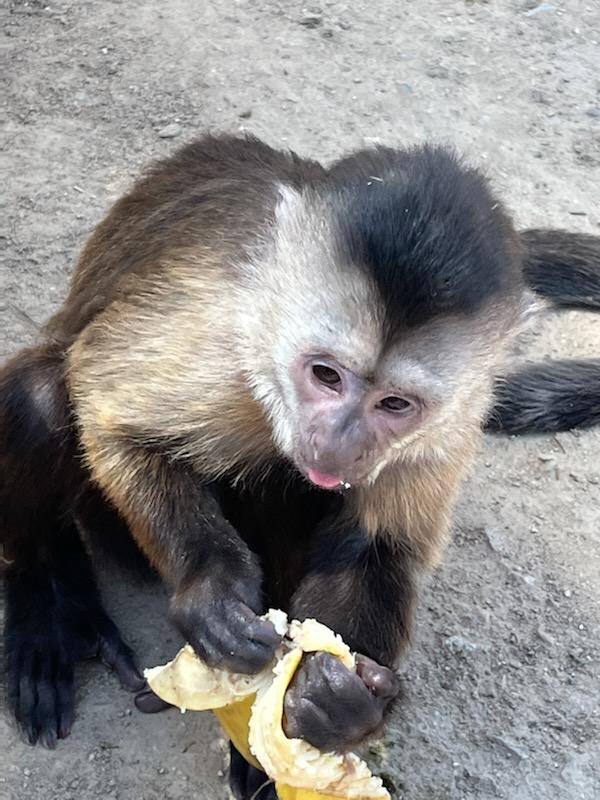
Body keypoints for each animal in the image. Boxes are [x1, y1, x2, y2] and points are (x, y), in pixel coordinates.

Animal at [0, 134, 596, 796]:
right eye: (326, 375)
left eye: (395, 404)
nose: (338, 442)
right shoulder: (218, 337)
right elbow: (111, 417)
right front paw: (211, 594)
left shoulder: (458, 413)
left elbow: (378, 547)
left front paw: (333, 701)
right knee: (42, 393)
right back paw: (47, 599)